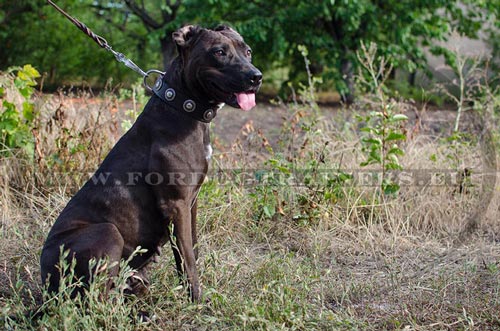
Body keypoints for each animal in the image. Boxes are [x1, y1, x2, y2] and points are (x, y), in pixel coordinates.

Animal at [41, 24, 262, 302]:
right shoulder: (176, 203)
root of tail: (44, 278)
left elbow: (193, 248)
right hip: (107, 232)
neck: (183, 106)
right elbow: (187, 259)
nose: (256, 76)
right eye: (219, 52)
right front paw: (197, 302)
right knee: (95, 298)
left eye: (248, 51)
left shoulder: (191, 203)